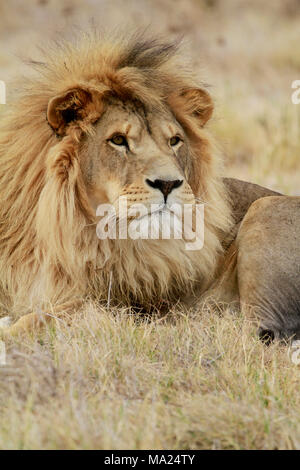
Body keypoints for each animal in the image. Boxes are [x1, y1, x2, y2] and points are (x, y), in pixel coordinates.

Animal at [0, 33, 298, 342]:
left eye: (174, 141)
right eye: (118, 140)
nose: (168, 183)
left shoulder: (121, 301)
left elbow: (52, 314)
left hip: (265, 210)